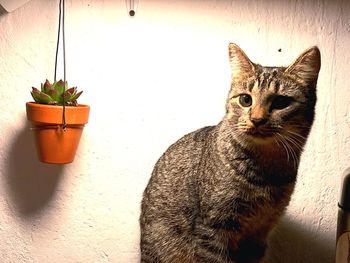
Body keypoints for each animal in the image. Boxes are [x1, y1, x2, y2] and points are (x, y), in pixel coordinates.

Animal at [139, 43, 320, 263]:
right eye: (245, 99)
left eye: (281, 102)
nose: (257, 119)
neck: (266, 170)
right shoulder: (213, 228)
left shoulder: (260, 235)